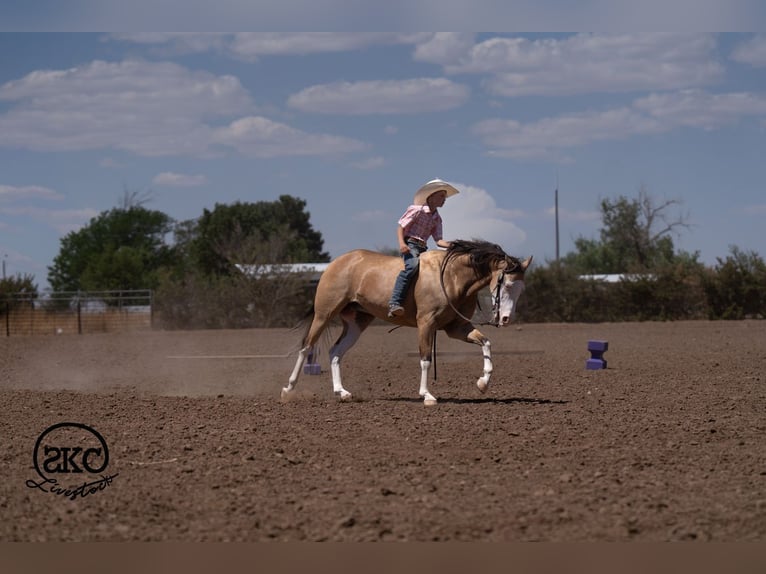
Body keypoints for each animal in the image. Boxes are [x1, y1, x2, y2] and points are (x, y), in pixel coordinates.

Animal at [283, 239, 532, 406]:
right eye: (507, 284)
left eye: (521, 289)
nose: (506, 319)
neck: (452, 277)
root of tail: (337, 263)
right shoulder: (426, 324)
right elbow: (425, 359)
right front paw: (427, 395)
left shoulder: (456, 328)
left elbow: (486, 342)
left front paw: (483, 383)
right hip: (324, 314)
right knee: (306, 347)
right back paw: (288, 389)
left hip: (356, 323)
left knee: (335, 351)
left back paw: (342, 392)